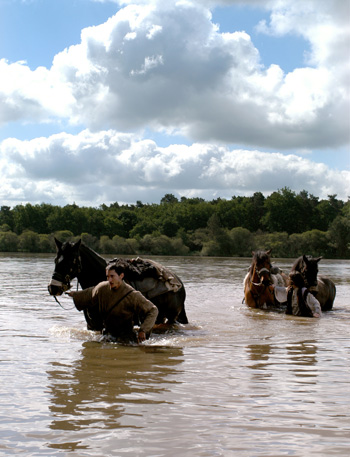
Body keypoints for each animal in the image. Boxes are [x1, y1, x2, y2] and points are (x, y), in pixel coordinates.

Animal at [48, 237, 189, 330]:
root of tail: (179, 283)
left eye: (69, 261)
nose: (53, 288)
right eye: (55, 260)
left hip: (171, 318)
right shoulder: (93, 326)